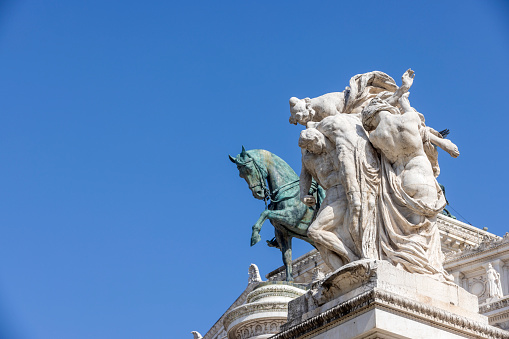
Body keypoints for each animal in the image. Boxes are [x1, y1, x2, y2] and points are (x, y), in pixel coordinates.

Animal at [229, 147, 324, 282]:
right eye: (240, 175)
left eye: (249, 169)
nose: (258, 193)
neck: (289, 191)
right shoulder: (282, 232)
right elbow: (286, 258)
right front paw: (289, 281)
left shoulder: (291, 217)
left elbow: (266, 212)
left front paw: (255, 236)